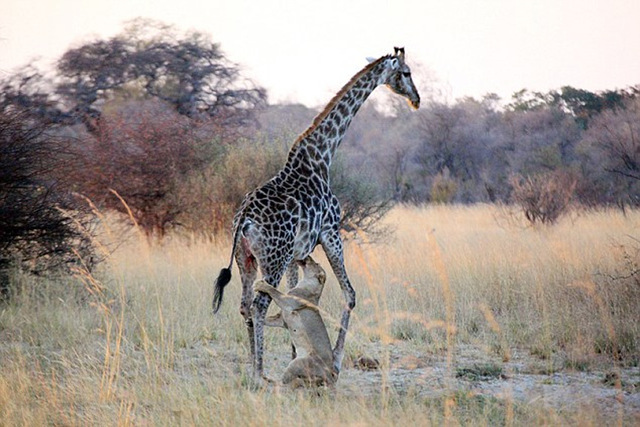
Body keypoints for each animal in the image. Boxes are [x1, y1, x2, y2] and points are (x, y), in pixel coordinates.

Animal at [210, 46, 420, 382]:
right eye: (406, 72)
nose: (417, 99)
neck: (323, 155)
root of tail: (244, 220)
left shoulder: (298, 252)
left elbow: (293, 298)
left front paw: (297, 354)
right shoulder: (331, 232)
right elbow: (351, 294)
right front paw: (335, 361)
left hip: (247, 259)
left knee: (245, 305)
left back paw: (253, 368)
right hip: (273, 258)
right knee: (258, 304)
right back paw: (259, 373)